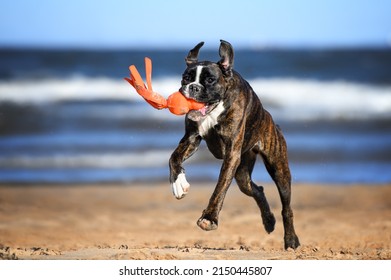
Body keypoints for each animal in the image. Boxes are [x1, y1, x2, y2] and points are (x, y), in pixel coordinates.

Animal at [168, 40, 300, 249]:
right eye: (186, 78)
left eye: (210, 80)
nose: (193, 88)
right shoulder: (191, 139)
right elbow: (173, 158)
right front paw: (178, 184)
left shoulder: (231, 155)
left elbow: (220, 187)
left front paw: (209, 218)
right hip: (242, 175)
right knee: (257, 190)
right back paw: (269, 221)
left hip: (279, 170)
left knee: (286, 207)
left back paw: (290, 239)